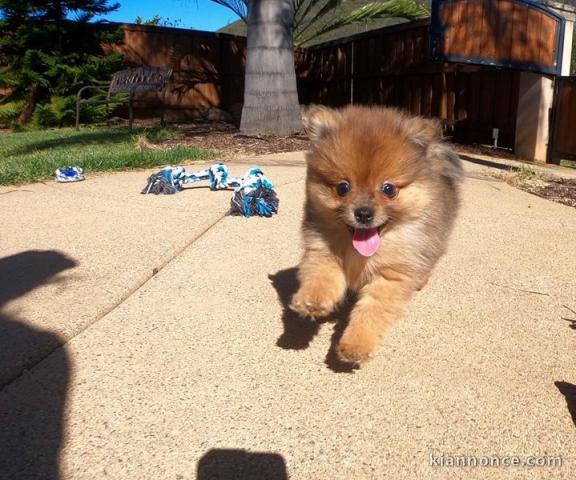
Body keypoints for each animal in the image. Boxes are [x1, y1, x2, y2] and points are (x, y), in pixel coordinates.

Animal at [290, 105, 462, 366]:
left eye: (388, 189)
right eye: (343, 187)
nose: (363, 213)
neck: (359, 253)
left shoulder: (391, 277)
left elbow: (371, 312)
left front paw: (356, 346)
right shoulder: (323, 252)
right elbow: (321, 277)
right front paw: (313, 300)